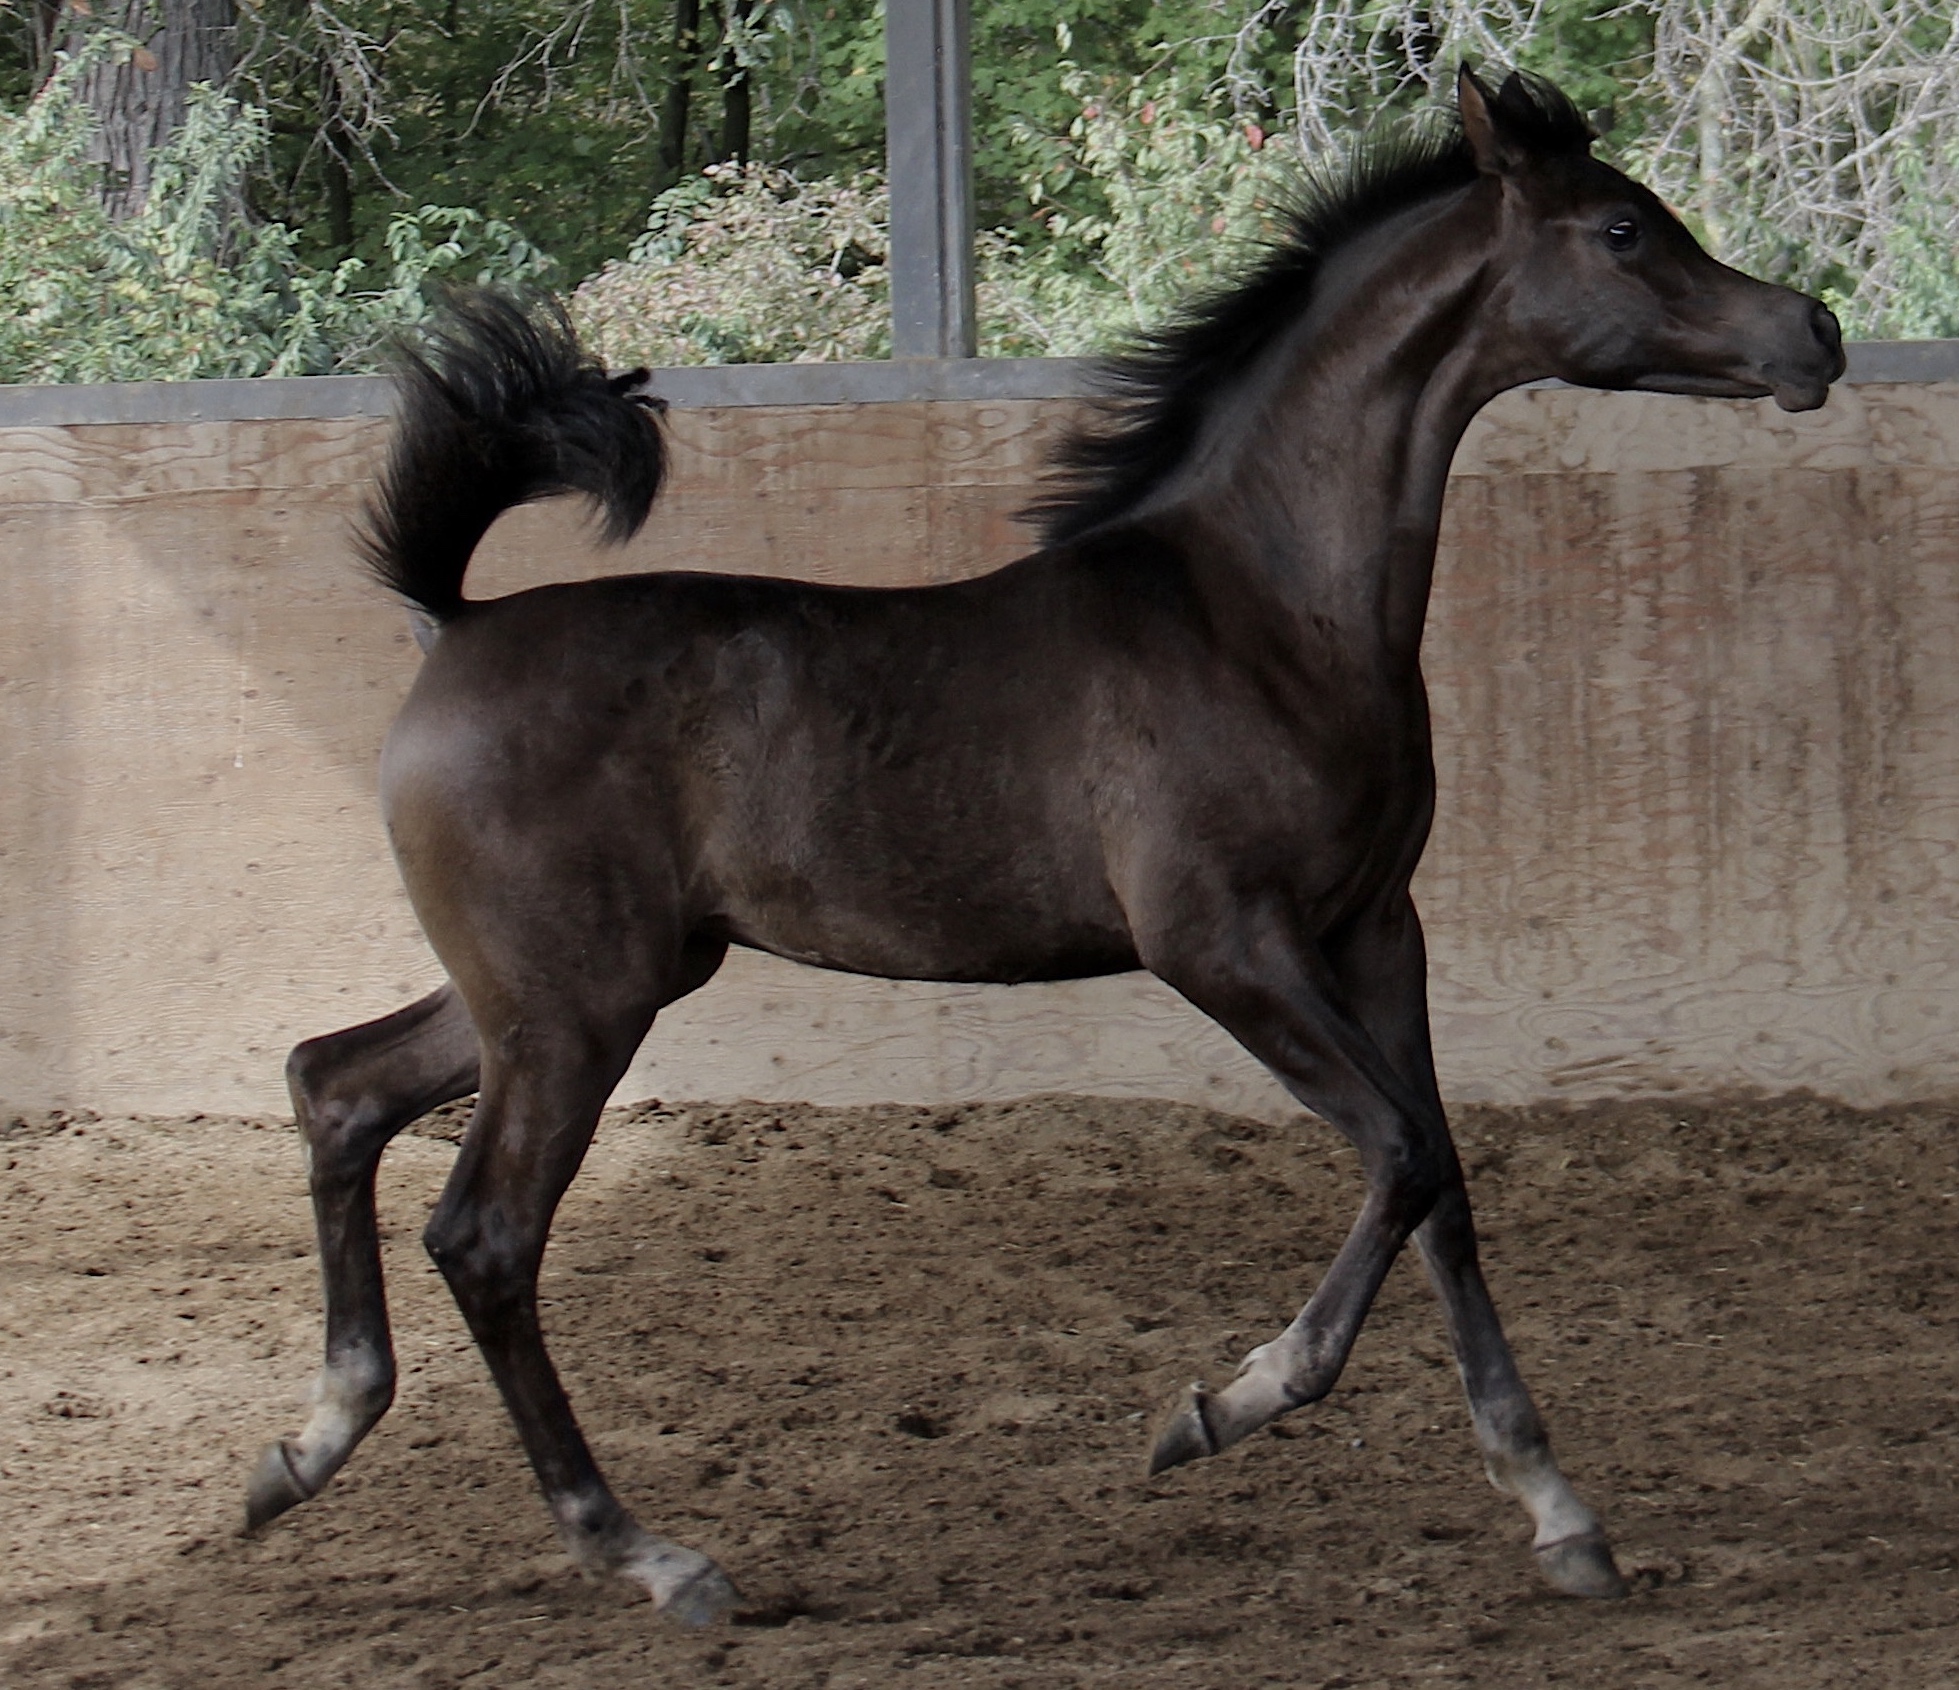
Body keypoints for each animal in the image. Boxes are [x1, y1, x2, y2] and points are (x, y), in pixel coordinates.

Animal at [240, 69, 1833, 1629]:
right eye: (1621, 231)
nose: (1809, 331)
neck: (1260, 609)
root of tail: (452, 626)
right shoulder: (1221, 943)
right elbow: (1395, 1152)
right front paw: (1219, 1404)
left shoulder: (1379, 930)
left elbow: (1442, 1181)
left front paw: (1559, 1513)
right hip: (576, 1009)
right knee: (484, 1234)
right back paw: (649, 1554)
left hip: (555, 989)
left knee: (337, 1084)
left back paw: (301, 1451)